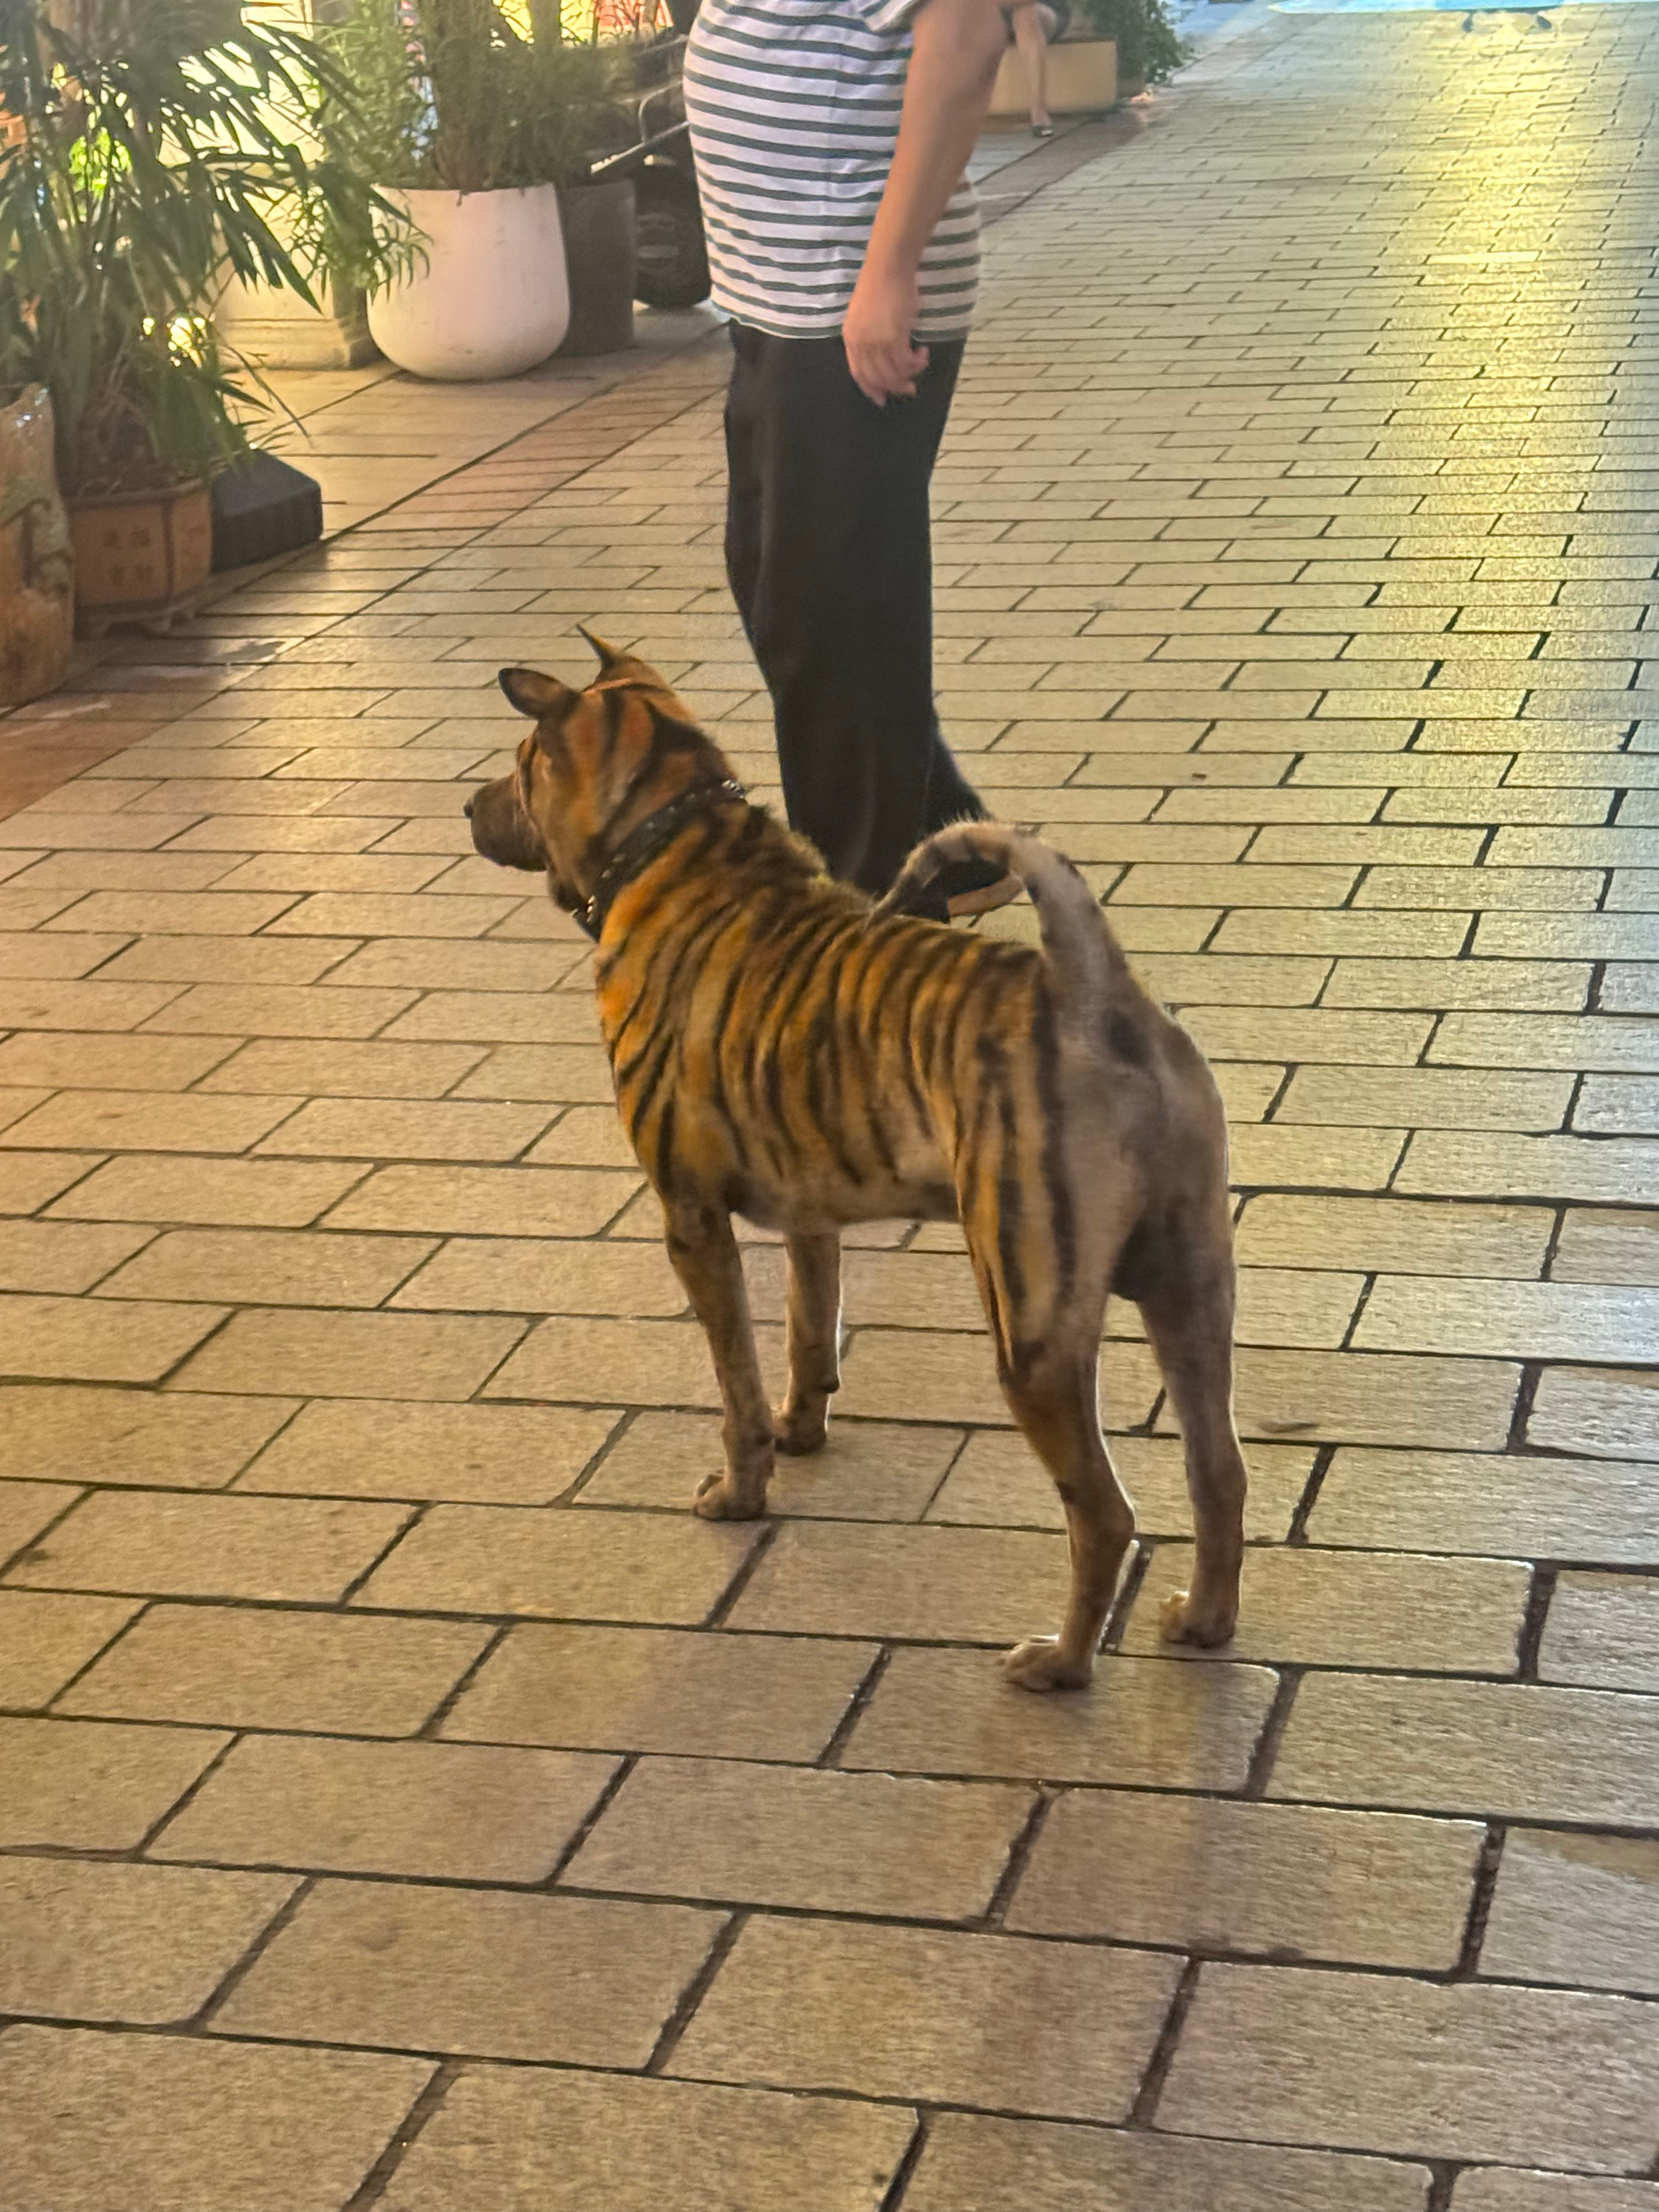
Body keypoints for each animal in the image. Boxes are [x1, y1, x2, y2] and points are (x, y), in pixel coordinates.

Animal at [465, 631, 1247, 1691]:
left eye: (519, 763)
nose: (468, 808)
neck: (674, 843)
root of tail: (1096, 994)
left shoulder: (690, 1221)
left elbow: (737, 1382)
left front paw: (742, 1486)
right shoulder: (810, 1210)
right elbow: (807, 1330)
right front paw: (803, 1430)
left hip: (1033, 1320)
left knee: (1104, 1513)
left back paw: (1062, 1661)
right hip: (1192, 1285)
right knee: (1218, 1470)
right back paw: (1204, 1619)